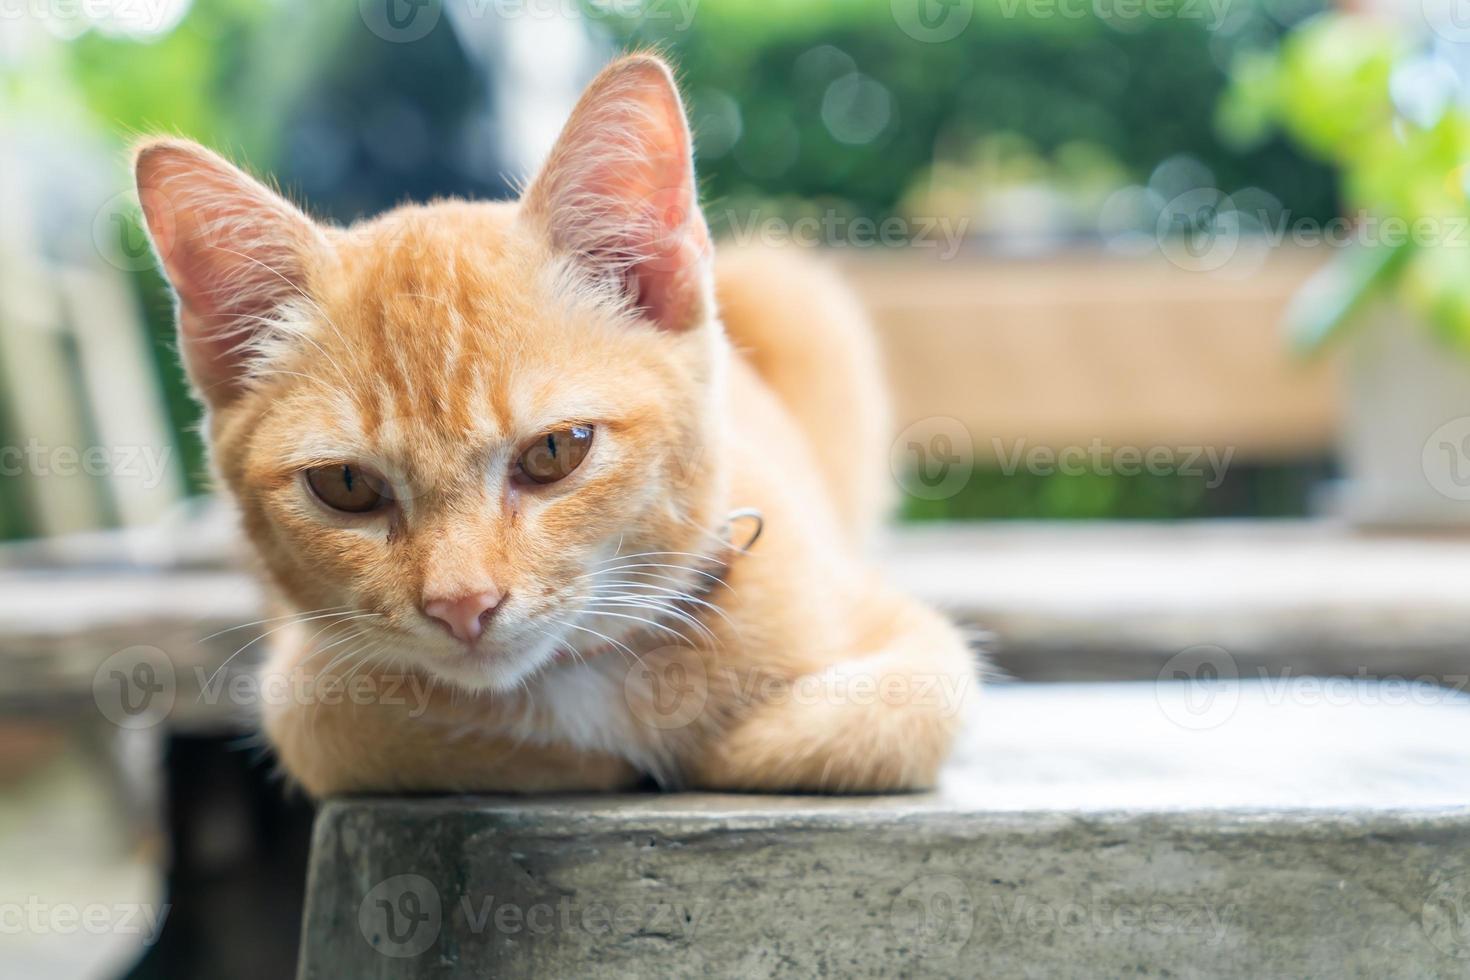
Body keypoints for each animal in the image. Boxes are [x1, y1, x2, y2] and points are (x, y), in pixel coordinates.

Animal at [129, 53, 976, 793]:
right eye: (345, 485)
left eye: (555, 452)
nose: (462, 606)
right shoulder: (306, 682)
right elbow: (342, 728)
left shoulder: (904, 639)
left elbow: (886, 715)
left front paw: (716, 746)